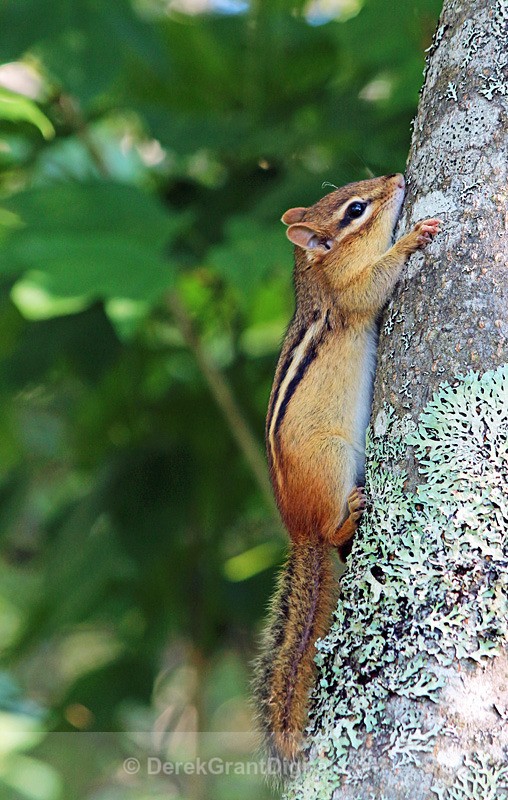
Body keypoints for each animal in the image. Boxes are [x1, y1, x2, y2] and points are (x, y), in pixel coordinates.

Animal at [253, 173, 441, 764]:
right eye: (356, 209)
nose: (398, 178)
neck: (314, 277)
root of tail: (298, 530)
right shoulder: (349, 295)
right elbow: (372, 286)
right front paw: (409, 241)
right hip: (337, 458)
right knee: (334, 527)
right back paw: (348, 515)